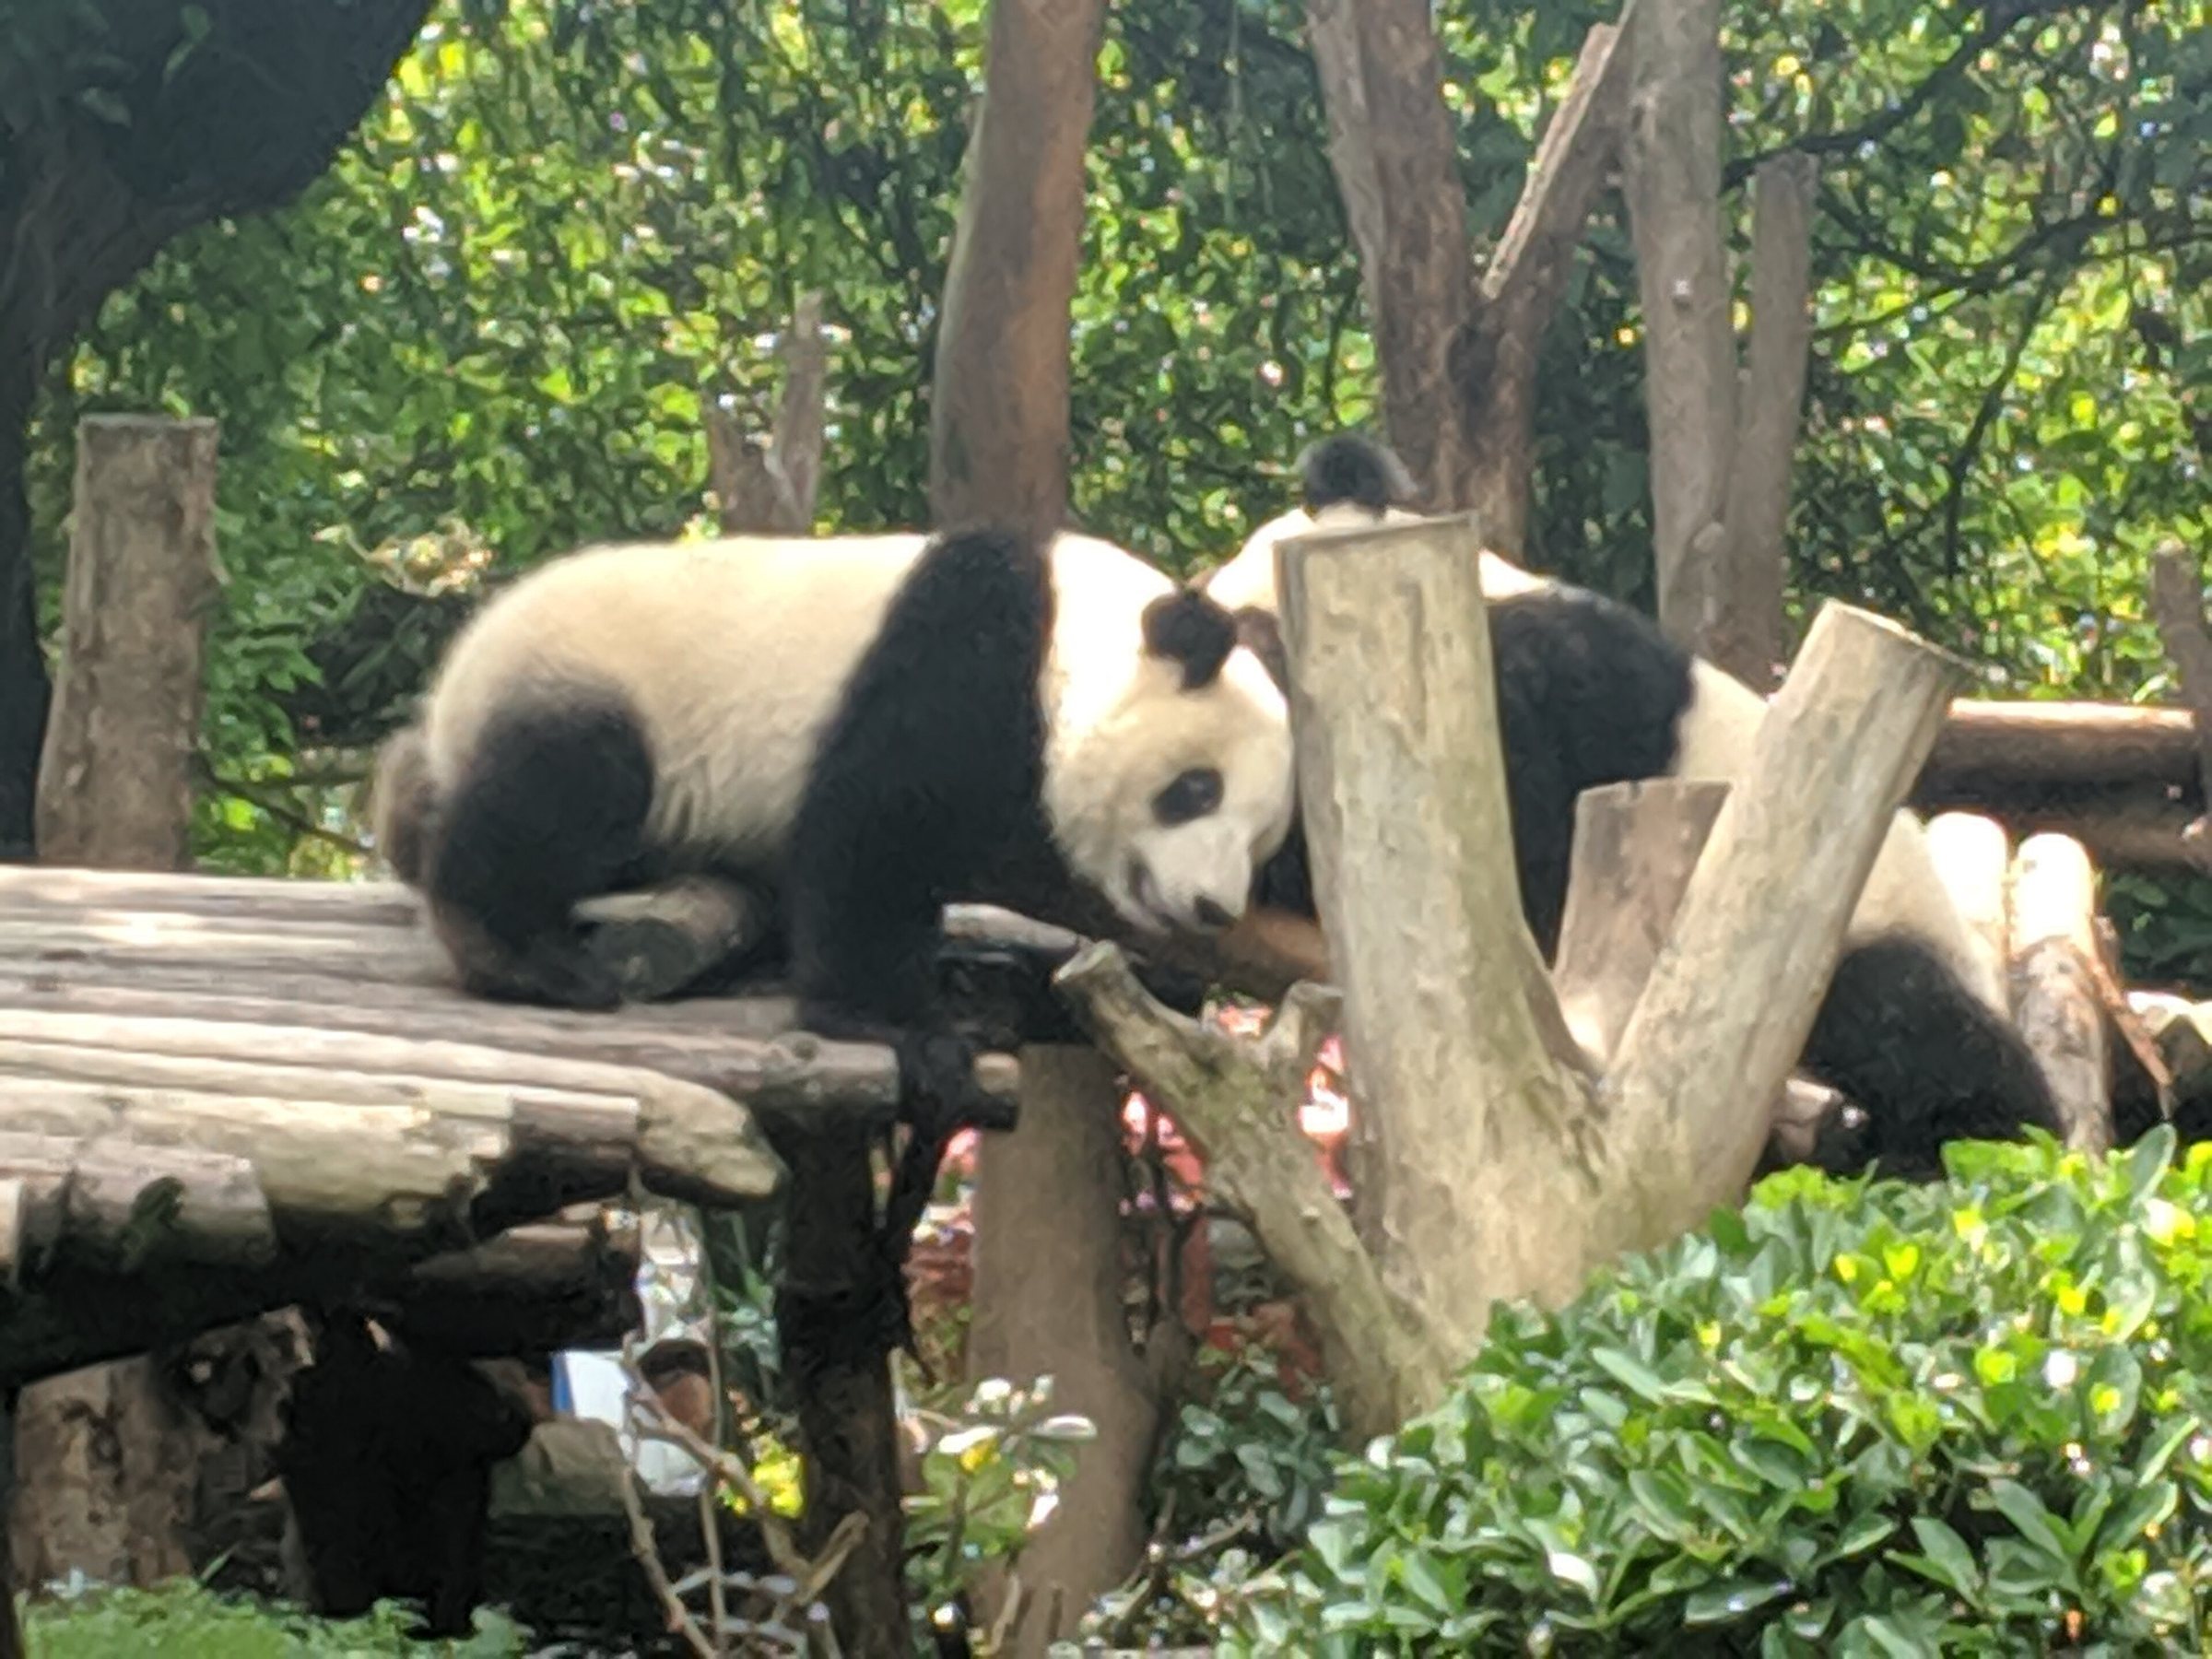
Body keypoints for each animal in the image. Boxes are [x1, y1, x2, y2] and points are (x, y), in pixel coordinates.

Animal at [373, 524, 1298, 1091]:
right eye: (1195, 789)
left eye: (1258, 840)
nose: (1210, 906)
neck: (1068, 635)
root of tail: (448, 700)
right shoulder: (960, 672)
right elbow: (872, 837)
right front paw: (904, 1029)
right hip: (593, 685)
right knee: (558, 794)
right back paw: (527, 959)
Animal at [1202, 432, 2062, 1181]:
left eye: (1258, 643)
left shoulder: (1525, 696)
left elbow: (1516, 854)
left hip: (1856, 925)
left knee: (1912, 1024)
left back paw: (1967, 1145)